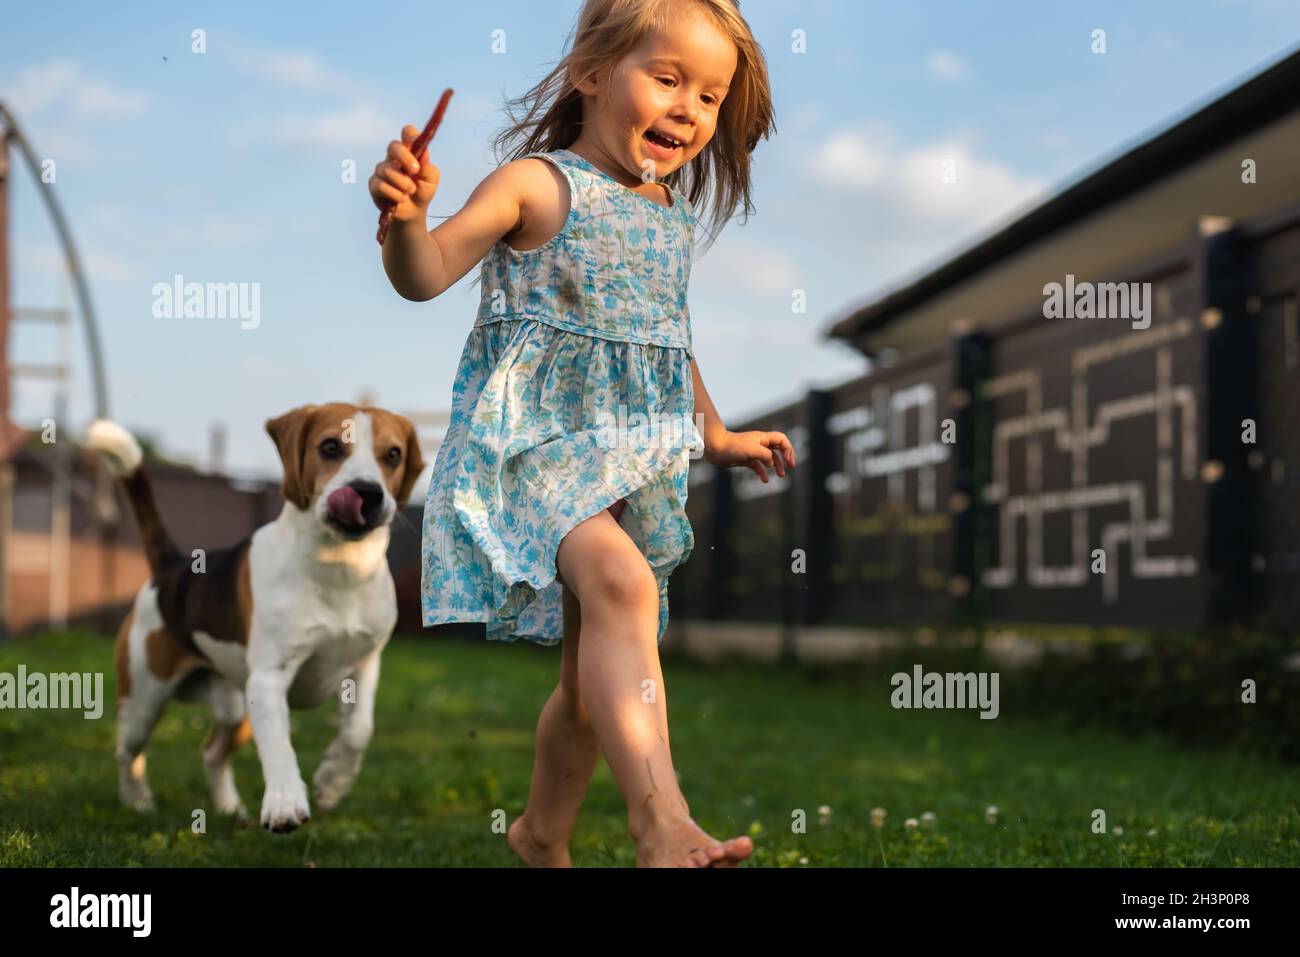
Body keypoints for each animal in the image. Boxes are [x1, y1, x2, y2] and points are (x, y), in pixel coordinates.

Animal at [87, 403, 431, 832]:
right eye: (330, 447)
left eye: (393, 455)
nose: (367, 492)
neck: (338, 566)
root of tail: (172, 567)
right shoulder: (269, 679)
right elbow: (279, 747)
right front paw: (285, 802)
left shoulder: (365, 666)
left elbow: (359, 732)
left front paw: (332, 783)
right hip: (144, 698)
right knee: (128, 751)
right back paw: (137, 802)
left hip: (236, 708)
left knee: (212, 754)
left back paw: (230, 809)